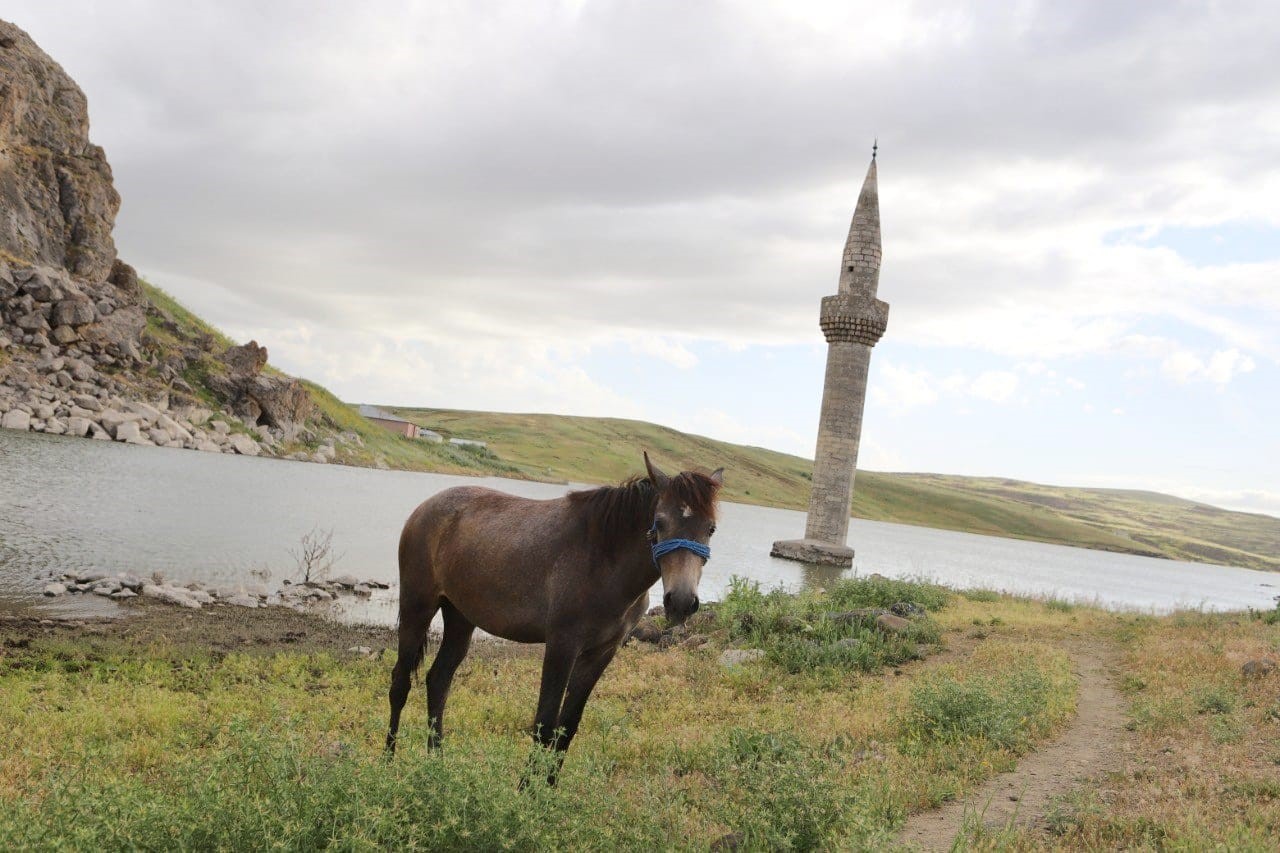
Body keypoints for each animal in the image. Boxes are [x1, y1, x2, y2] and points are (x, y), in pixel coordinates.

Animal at [381, 450, 721, 778]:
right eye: (660, 522)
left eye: (711, 528)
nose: (681, 601)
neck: (602, 559)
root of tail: (426, 508)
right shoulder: (562, 646)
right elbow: (544, 725)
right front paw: (526, 793)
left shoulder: (601, 653)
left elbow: (566, 729)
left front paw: (548, 788)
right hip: (417, 608)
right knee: (400, 684)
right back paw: (388, 761)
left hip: (461, 619)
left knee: (438, 681)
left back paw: (436, 762)